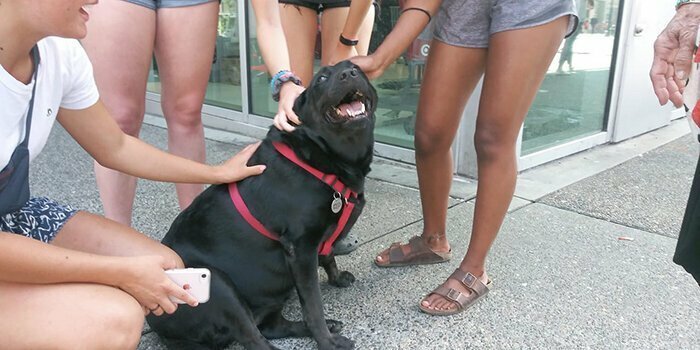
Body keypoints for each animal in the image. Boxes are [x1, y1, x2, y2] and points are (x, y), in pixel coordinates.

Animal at [148, 60, 378, 350]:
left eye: (356, 68)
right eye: (322, 79)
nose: (349, 74)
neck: (324, 157)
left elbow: (328, 257)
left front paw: (336, 279)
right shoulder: (301, 249)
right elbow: (313, 304)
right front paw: (326, 340)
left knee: (271, 327)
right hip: (217, 284)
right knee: (253, 337)